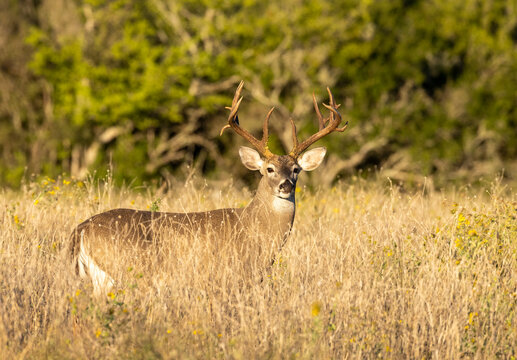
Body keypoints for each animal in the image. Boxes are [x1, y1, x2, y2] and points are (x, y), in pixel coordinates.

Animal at [66, 81, 344, 296]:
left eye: (296, 169)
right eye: (269, 169)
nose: (285, 185)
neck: (253, 228)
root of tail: (82, 229)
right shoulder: (229, 277)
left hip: (98, 277)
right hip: (126, 271)